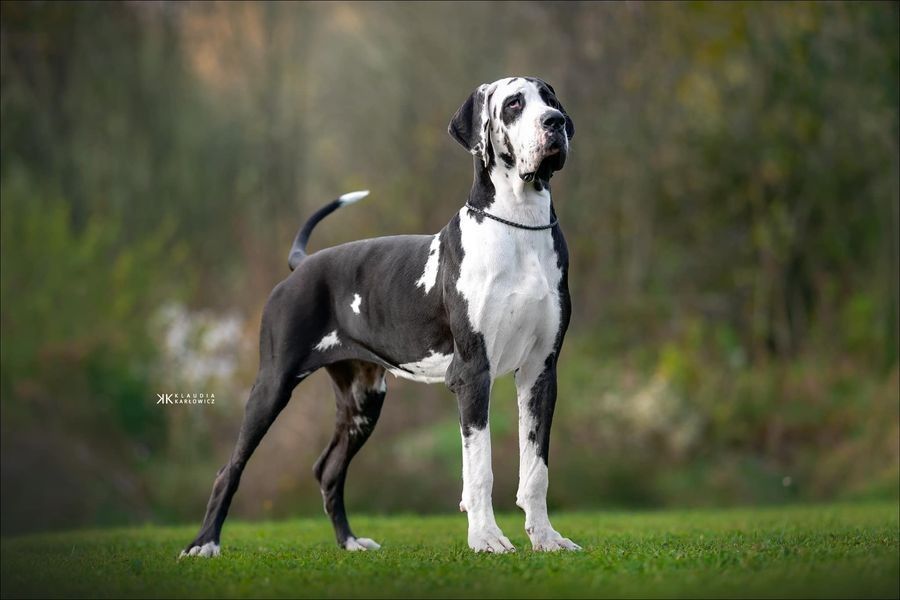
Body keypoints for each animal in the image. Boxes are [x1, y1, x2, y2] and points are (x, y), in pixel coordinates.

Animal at [181, 76, 578, 557]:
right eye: (515, 104)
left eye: (550, 99)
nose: (554, 122)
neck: (519, 227)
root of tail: (302, 264)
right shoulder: (472, 373)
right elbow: (479, 469)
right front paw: (485, 538)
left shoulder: (540, 372)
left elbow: (536, 470)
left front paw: (546, 538)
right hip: (272, 386)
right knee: (230, 468)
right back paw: (204, 543)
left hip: (363, 400)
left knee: (328, 470)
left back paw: (350, 541)